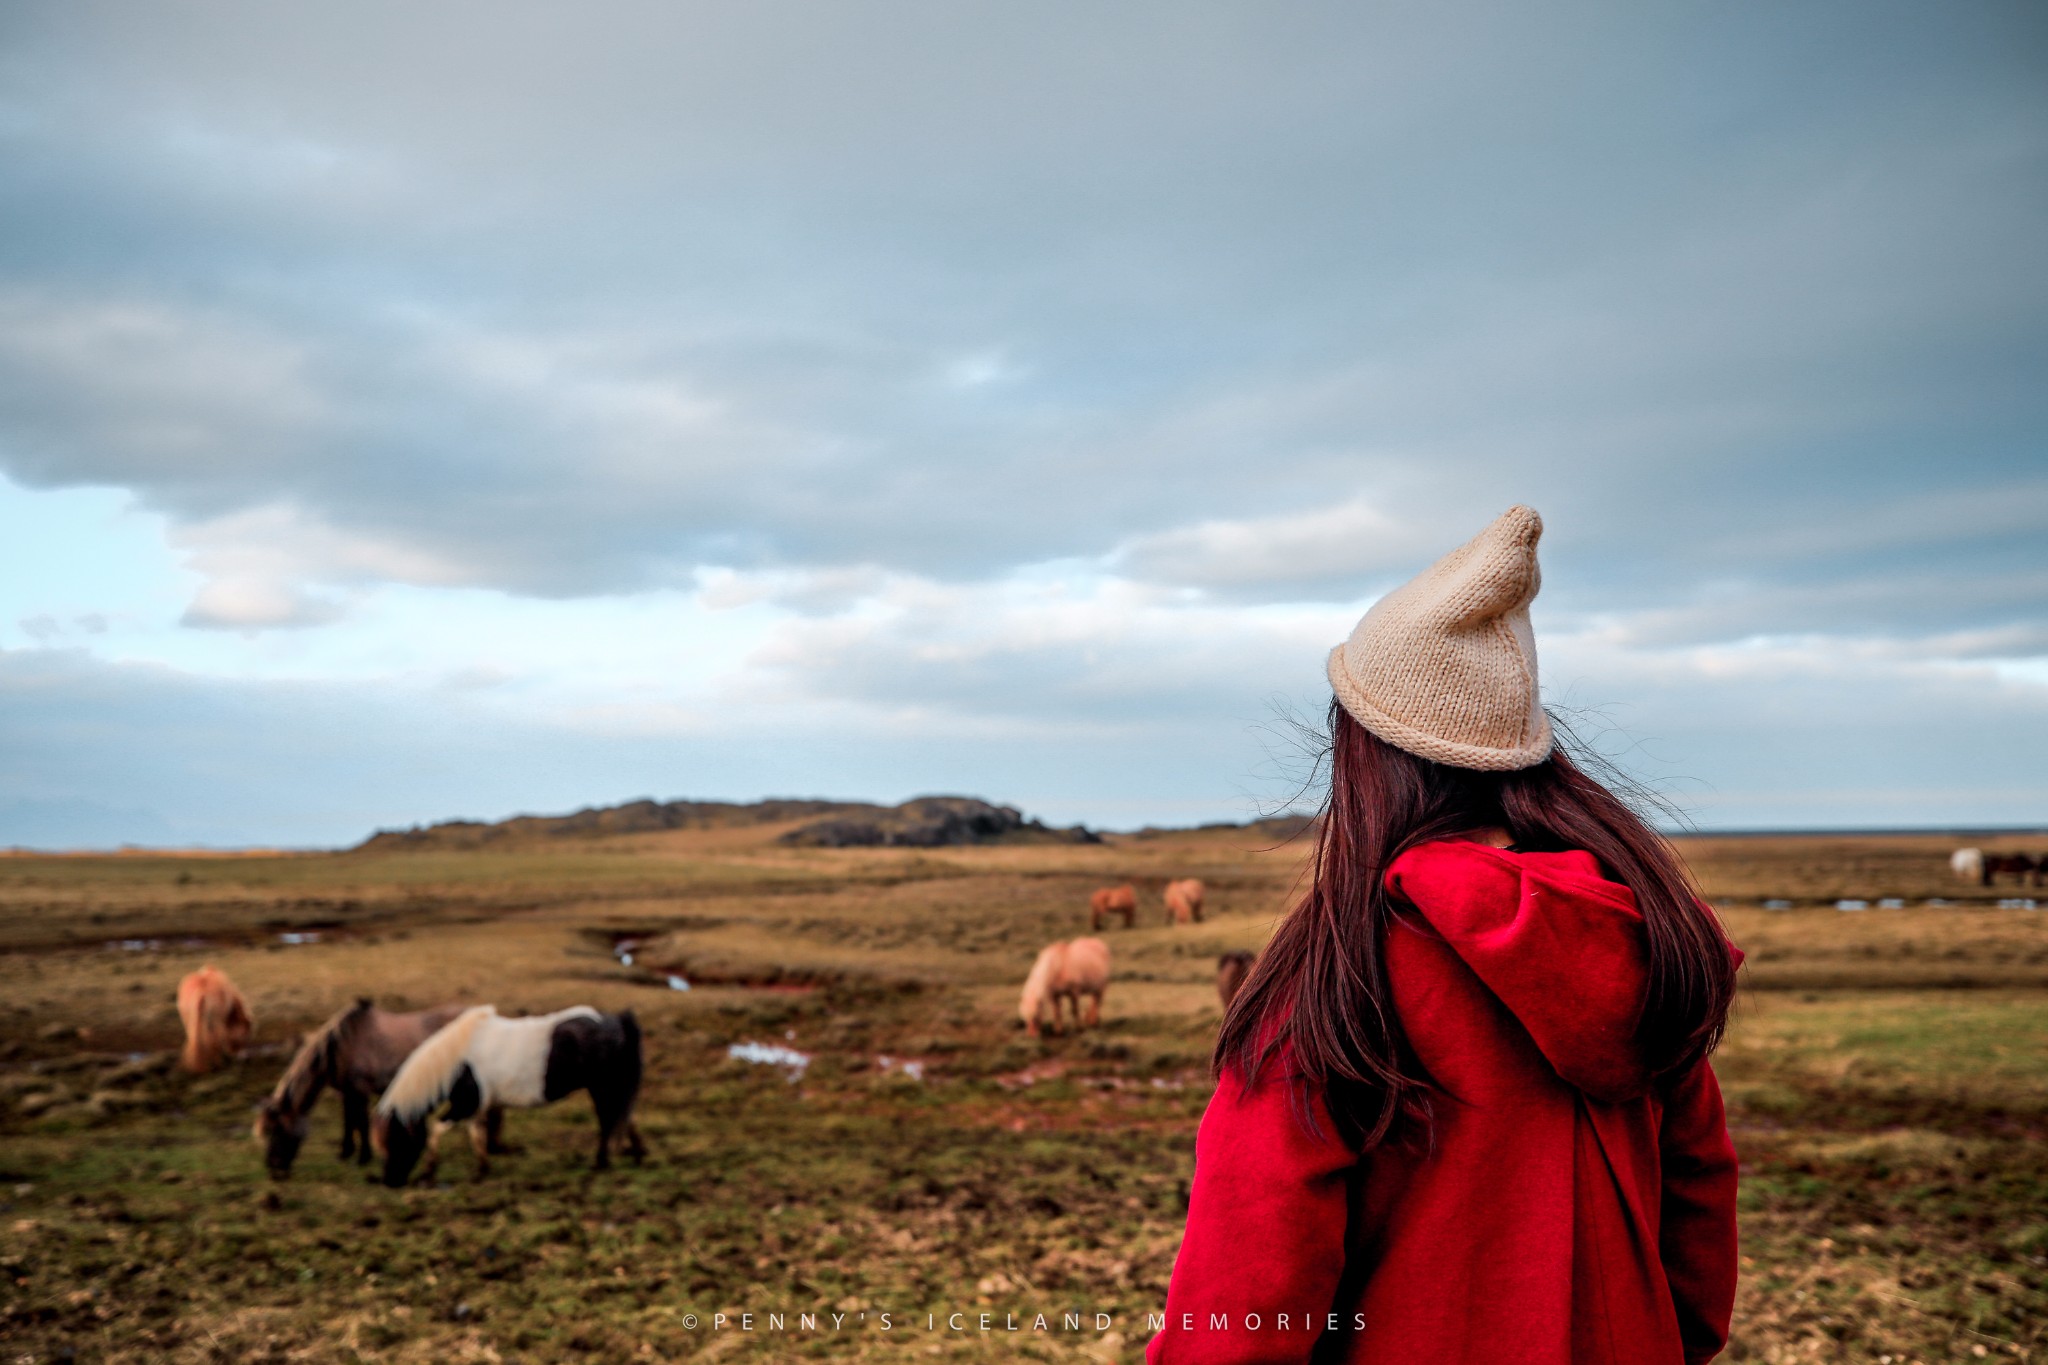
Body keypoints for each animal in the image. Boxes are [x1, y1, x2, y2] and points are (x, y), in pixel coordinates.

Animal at [253, 998, 466, 1178]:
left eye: (276, 1128)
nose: (273, 1167)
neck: (342, 1046)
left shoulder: (360, 1090)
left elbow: (361, 1122)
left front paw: (363, 1157)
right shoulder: (347, 1092)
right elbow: (349, 1120)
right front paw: (345, 1153)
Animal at [372, 1002, 643, 1186]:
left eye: (396, 1141)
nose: (389, 1181)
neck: (456, 1062)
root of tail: (614, 1020)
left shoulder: (466, 1103)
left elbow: (437, 1127)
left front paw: (429, 1172)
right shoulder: (475, 1106)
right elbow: (476, 1133)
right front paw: (482, 1168)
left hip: (602, 1086)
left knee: (608, 1119)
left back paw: (601, 1161)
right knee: (623, 1115)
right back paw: (637, 1153)